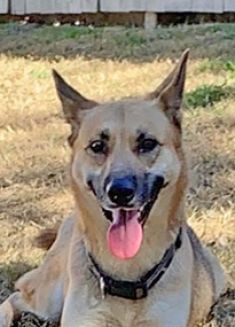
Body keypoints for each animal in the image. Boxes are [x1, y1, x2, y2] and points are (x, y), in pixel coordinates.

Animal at [0, 49, 227, 327]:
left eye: (147, 143)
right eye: (97, 146)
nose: (119, 192)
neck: (127, 279)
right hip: (48, 297)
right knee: (17, 295)